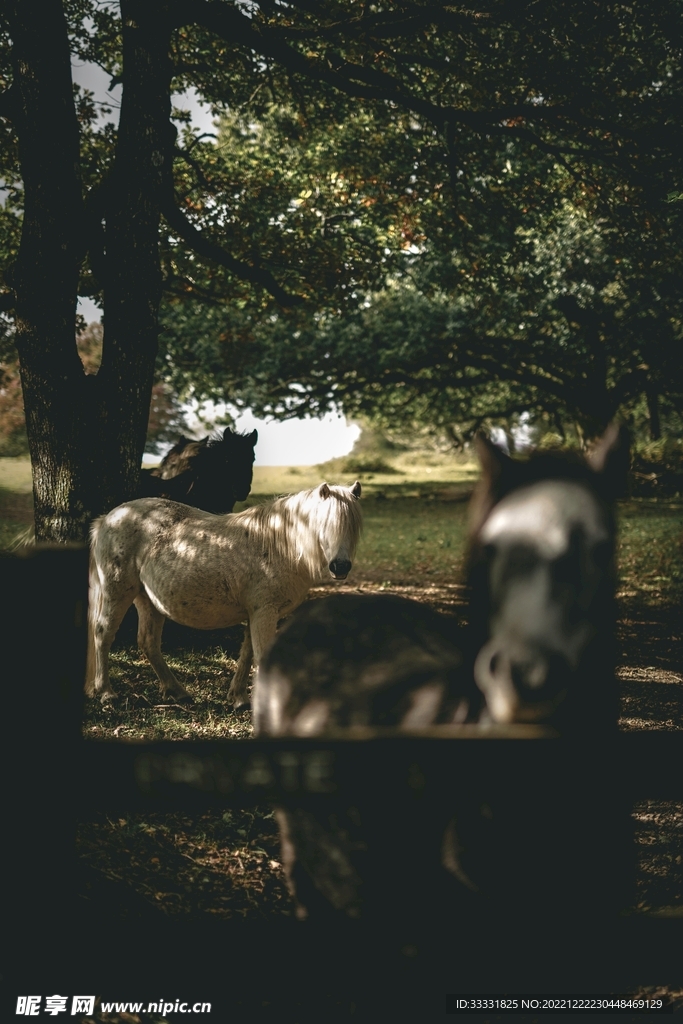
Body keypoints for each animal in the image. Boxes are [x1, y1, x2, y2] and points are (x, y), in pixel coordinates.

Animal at [85, 482, 362, 707]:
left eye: (353, 527)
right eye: (325, 525)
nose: (340, 567)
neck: (279, 545)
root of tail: (108, 518)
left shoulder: (255, 614)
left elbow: (247, 654)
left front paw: (238, 698)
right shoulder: (265, 612)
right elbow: (261, 655)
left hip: (148, 599)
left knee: (148, 642)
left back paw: (178, 691)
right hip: (117, 592)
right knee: (103, 633)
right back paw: (106, 692)